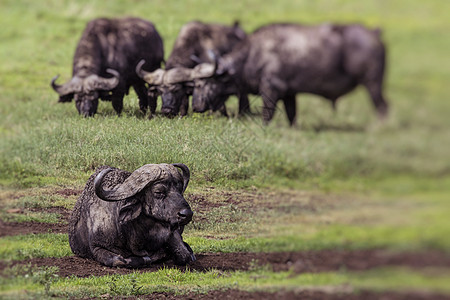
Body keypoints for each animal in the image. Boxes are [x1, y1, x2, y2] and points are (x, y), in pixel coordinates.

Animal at [188, 22, 388, 125]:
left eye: (203, 83)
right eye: (195, 83)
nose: (196, 107)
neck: (252, 54)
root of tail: (374, 33)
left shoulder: (271, 90)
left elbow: (267, 115)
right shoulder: (289, 94)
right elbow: (292, 116)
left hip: (373, 84)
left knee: (382, 108)